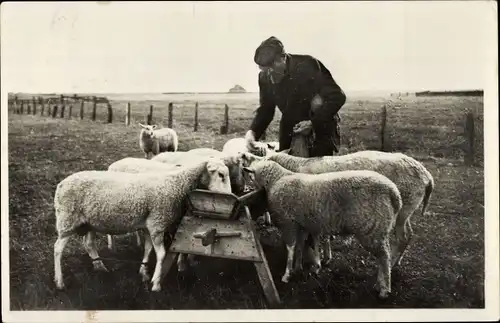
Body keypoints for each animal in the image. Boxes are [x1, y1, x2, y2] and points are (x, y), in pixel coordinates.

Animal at [51, 160, 231, 294]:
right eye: (221, 175)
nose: (231, 195)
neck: (177, 184)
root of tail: (61, 184)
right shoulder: (158, 223)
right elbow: (161, 254)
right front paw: (156, 283)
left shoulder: (149, 225)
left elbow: (148, 249)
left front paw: (144, 273)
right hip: (67, 220)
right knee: (58, 248)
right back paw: (59, 282)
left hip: (88, 223)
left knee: (89, 244)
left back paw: (100, 267)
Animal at [241, 149, 434, 268]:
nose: (244, 156)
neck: (293, 168)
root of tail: (426, 175)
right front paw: (325, 256)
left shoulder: (317, 208)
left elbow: (319, 235)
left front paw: (320, 258)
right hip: (406, 211)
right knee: (408, 235)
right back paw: (396, 261)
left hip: (403, 207)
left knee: (403, 237)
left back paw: (392, 263)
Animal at [244, 161, 404, 300]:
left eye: (250, 175)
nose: (246, 189)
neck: (277, 180)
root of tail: (394, 193)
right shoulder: (302, 224)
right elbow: (300, 245)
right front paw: (299, 267)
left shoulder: (288, 222)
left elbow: (290, 248)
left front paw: (287, 274)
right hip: (378, 229)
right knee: (382, 256)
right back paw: (379, 284)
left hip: (371, 229)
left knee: (384, 257)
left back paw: (384, 289)